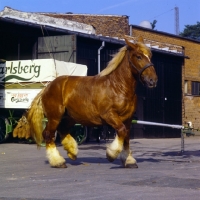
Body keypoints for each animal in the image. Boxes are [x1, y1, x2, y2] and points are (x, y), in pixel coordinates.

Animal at [26, 36, 158, 168]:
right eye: (138, 56)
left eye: (150, 56)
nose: (153, 80)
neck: (118, 87)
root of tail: (47, 87)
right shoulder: (109, 115)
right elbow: (121, 131)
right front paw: (111, 154)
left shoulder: (128, 119)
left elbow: (126, 137)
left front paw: (129, 161)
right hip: (55, 117)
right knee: (48, 134)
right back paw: (58, 161)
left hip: (70, 117)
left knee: (62, 130)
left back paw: (72, 152)